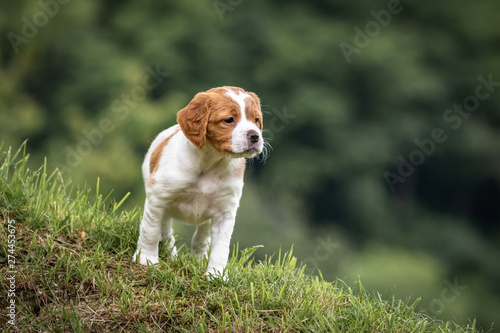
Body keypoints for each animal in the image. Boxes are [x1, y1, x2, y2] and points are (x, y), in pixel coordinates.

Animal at [133, 85, 266, 274]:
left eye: (256, 120)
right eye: (229, 120)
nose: (255, 136)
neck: (211, 163)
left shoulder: (225, 211)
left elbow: (220, 247)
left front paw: (216, 275)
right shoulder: (158, 196)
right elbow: (151, 231)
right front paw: (146, 259)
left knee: (201, 237)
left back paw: (198, 258)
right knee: (165, 231)